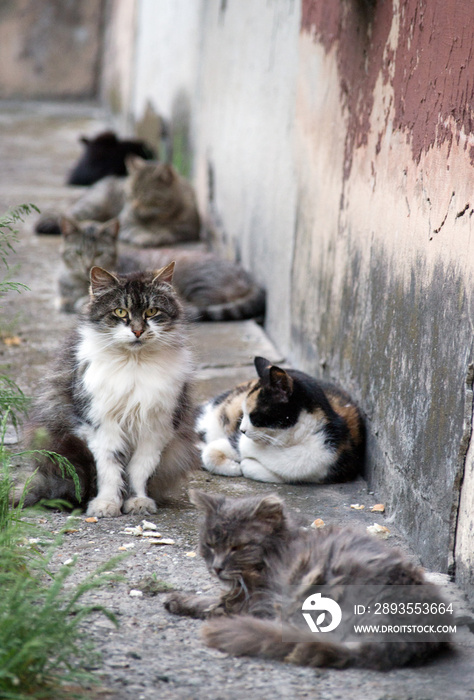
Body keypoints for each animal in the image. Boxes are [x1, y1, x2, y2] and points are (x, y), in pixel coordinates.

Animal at [19, 262, 198, 516]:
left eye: (151, 312)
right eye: (120, 312)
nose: (137, 331)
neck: (134, 363)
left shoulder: (156, 427)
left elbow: (139, 470)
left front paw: (138, 502)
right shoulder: (102, 425)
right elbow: (109, 470)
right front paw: (106, 504)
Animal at [57, 217, 264, 322]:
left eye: (99, 253)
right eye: (78, 252)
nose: (86, 266)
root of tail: (251, 279)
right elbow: (62, 301)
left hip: (197, 282)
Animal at [166, 490, 448, 668]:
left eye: (237, 548)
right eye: (210, 545)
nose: (216, 568)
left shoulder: (252, 599)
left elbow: (213, 602)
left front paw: (181, 600)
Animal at [198, 358, 364, 484]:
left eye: (254, 416)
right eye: (242, 414)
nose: (241, 430)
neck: (285, 443)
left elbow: (274, 473)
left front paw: (244, 465)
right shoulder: (237, 442)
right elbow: (209, 454)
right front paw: (233, 467)